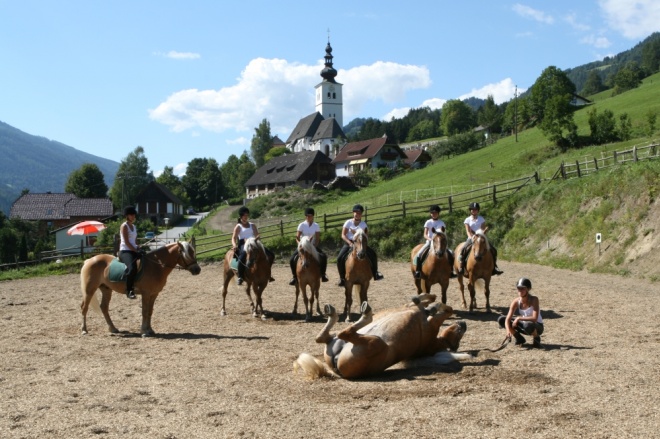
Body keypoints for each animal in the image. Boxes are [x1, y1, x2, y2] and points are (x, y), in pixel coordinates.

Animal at [292, 294, 470, 380]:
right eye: (458, 338)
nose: (464, 325)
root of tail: (336, 371)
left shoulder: (430, 325)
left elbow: (447, 309)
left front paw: (432, 307)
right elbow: (430, 301)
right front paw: (427, 302)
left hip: (375, 342)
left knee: (343, 333)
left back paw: (364, 314)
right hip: (338, 341)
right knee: (324, 337)